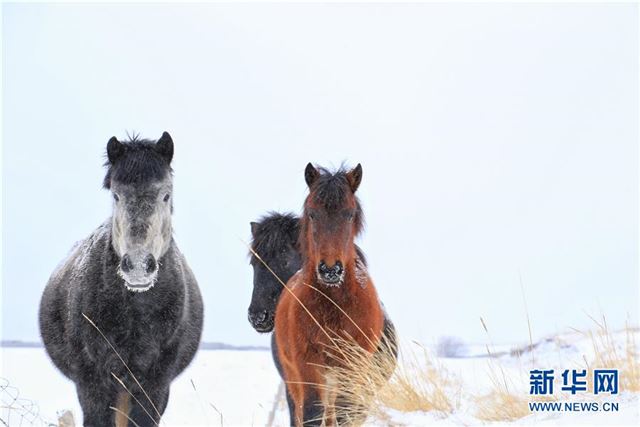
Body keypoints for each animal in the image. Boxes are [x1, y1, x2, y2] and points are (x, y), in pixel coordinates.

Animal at [39, 132, 202, 426]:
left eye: (166, 195)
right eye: (116, 195)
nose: (138, 266)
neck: (134, 314)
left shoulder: (155, 385)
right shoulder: (92, 382)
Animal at [272, 163, 388, 424]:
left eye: (349, 214)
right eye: (312, 213)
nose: (330, 269)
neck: (334, 304)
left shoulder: (351, 364)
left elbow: (345, 413)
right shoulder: (307, 364)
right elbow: (312, 412)